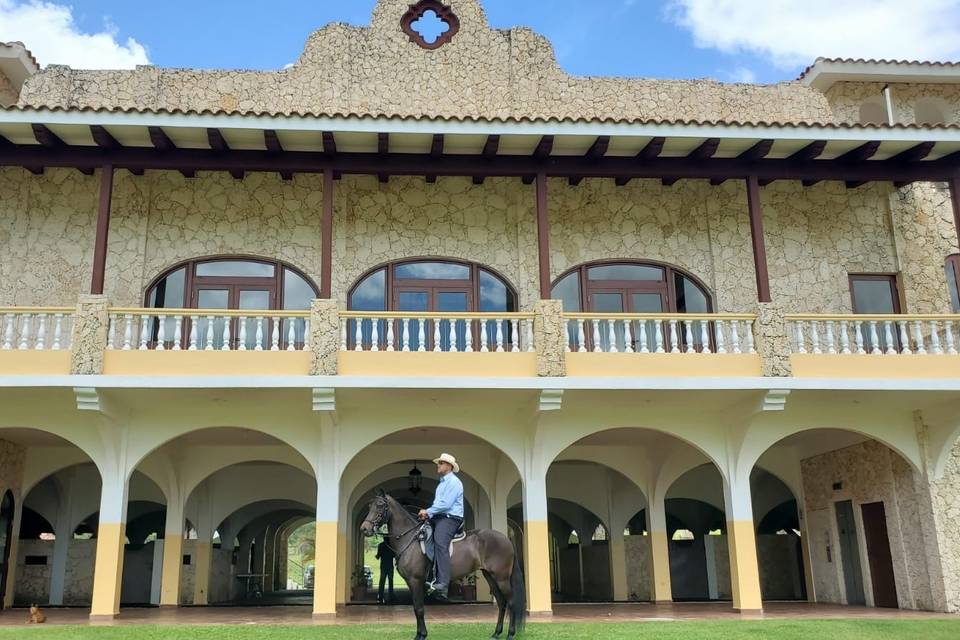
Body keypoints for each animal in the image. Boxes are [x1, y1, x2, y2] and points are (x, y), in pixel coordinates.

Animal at [360, 492, 524, 636]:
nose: (364, 529)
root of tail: (506, 539)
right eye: (369, 506)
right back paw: (496, 633)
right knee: (501, 602)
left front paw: (421, 635)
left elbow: (419, 609)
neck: (410, 539)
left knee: (511, 602)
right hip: (490, 576)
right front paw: (420, 634)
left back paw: (510, 634)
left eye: (380, 505)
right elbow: (416, 608)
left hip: (502, 578)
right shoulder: (411, 582)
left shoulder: (416, 580)